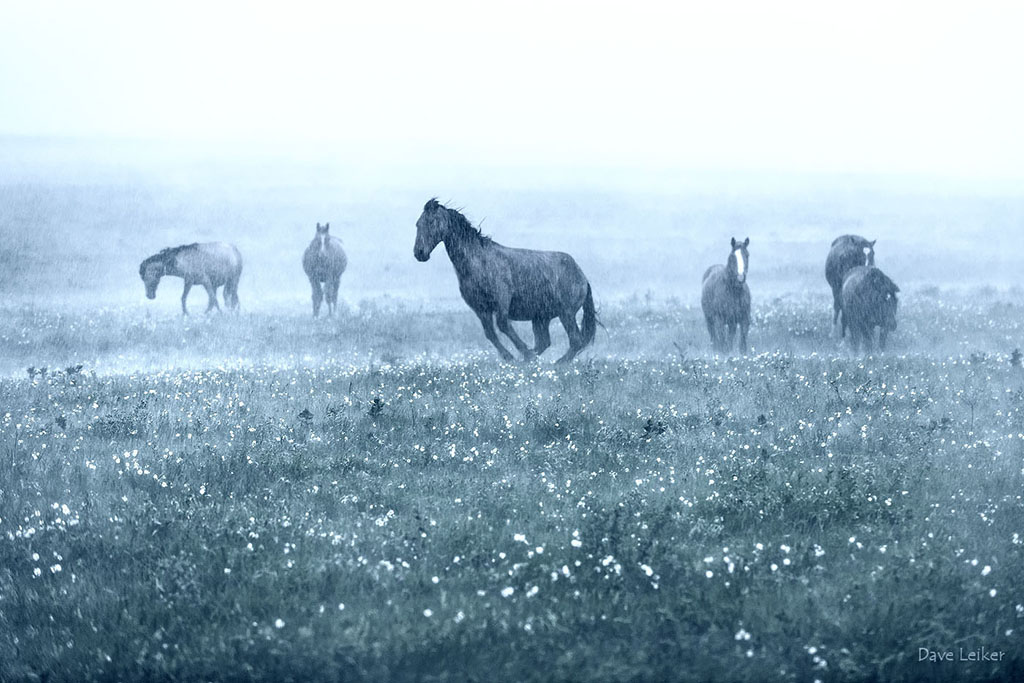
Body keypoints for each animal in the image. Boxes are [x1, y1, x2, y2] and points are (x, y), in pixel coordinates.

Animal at [411, 197, 598, 362]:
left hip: (566, 313)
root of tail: (582, 277)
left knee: (575, 340)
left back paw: (555, 363)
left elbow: (502, 325)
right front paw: (511, 358)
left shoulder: (502, 301)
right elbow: (490, 333)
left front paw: (522, 354)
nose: (419, 253)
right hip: (540, 318)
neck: (479, 262)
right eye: (418, 224)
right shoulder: (480, 308)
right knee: (545, 342)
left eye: (432, 222)